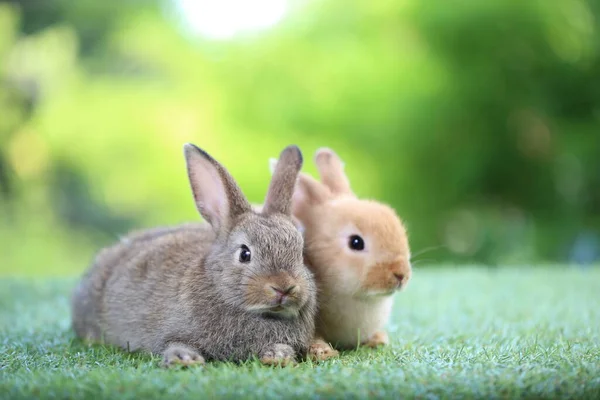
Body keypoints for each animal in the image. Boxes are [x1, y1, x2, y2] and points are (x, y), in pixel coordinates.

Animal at [72, 143, 316, 366]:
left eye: (300, 253)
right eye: (245, 254)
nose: (284, 287)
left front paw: (278, 356)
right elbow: (173, 343)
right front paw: (185, 359)